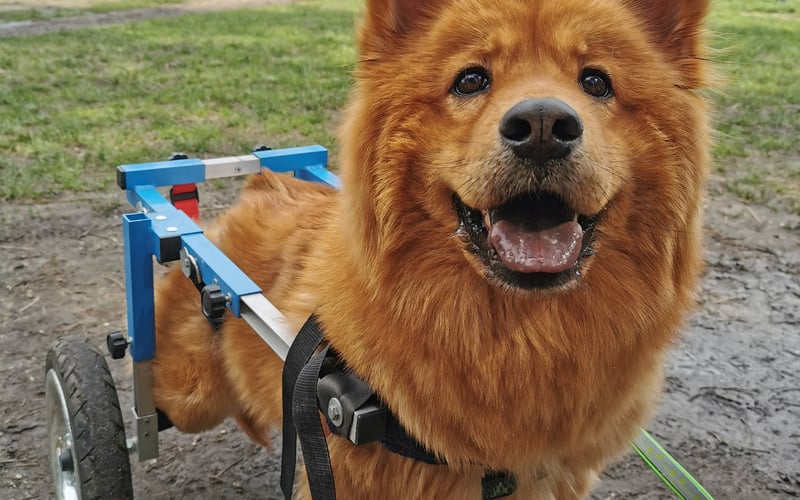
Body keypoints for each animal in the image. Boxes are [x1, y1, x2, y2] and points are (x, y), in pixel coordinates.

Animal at [150, 1, 712, 498]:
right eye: (470, 80)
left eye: (596, 82)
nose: (543, 127)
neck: (517, 338)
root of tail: (262, 179)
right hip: (189, 393)